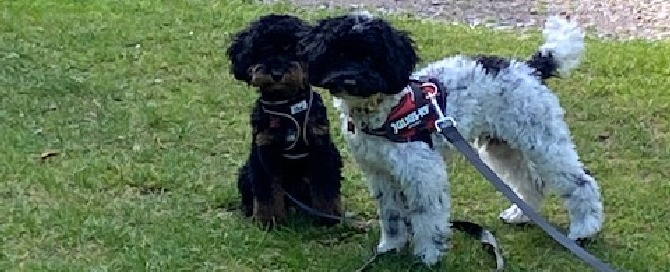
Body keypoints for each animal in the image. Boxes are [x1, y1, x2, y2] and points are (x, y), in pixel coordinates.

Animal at [227, 14, 344, 227]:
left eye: (291, 50)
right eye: (265, 50)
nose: (277, 73)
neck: (287, 107)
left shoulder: (321, 150)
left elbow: (325, 188)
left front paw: (328, 218)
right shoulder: (264, 154)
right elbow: (267, 192)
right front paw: (268, 220)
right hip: (246, 172)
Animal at [302, 11, 608, 264]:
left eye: (371, 57)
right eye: (339, 53)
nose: (349, 79)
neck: (386, 112)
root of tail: (529, 67)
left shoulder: (423, 172)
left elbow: (427, 216)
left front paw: (428, 255)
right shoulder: (380, 173)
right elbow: (391, 216)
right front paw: (389, 247)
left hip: (542, 142)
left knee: (581, 183)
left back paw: (584, 229)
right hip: (501, 146)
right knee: (532, 183)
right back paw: (520, 214)